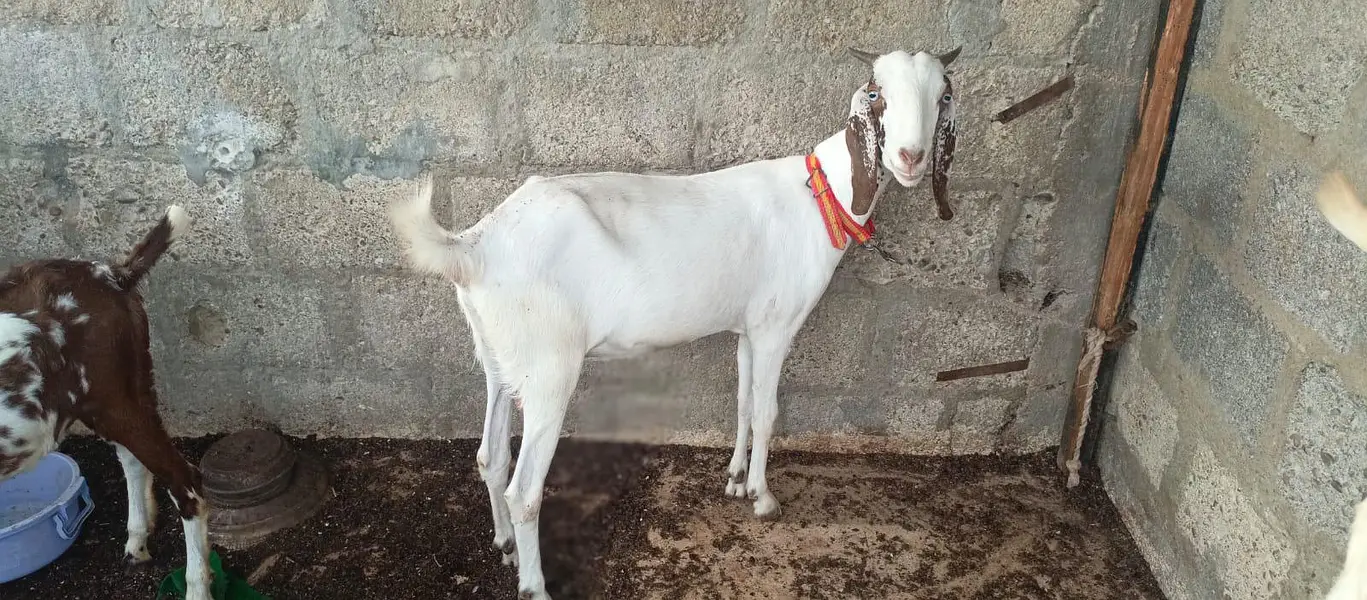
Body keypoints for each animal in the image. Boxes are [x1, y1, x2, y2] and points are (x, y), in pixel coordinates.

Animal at [0, 206, 211, 600]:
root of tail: (114, 275)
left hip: (111, 394)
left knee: (183, 478)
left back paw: (196, 587)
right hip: (125, 389)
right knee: (132, 457)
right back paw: (136, 543)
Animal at [390, 47, 961, 599]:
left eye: (941, 97)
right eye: (877, 95)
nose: (911, 157)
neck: (818, 196)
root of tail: (475, 245)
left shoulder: (747, 328)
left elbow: (743, 400)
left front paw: (735, 479)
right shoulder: (776, 326)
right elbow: (768, 412)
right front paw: (763, 497)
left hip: (499, 357)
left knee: (490, 456)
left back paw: (505, 544)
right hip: (549, 368)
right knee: (525, 489)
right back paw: (534, 585)